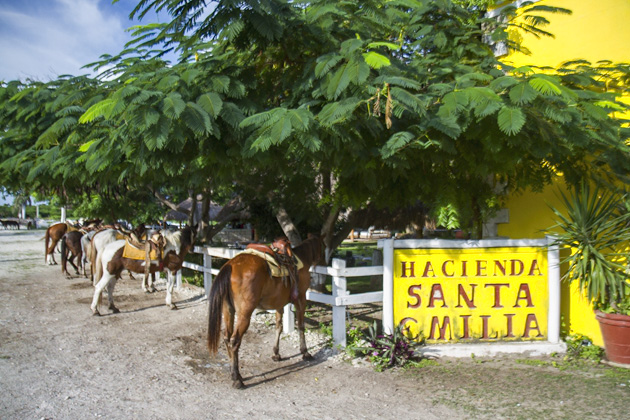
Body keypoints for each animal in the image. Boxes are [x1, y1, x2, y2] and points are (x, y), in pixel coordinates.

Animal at [209, 235, 326, 388]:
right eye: (323, 246)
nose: (324, 261)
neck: (302, 259)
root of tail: (230, 266)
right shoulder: (301, 299)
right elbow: (301, 326)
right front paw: (305, 352)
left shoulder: (279, 304)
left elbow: (279, 327)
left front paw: (276, 353)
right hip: (244, 314)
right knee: (234, 341)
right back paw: (236, 379)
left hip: (228, 311)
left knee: (227, 338)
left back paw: (234, 372)